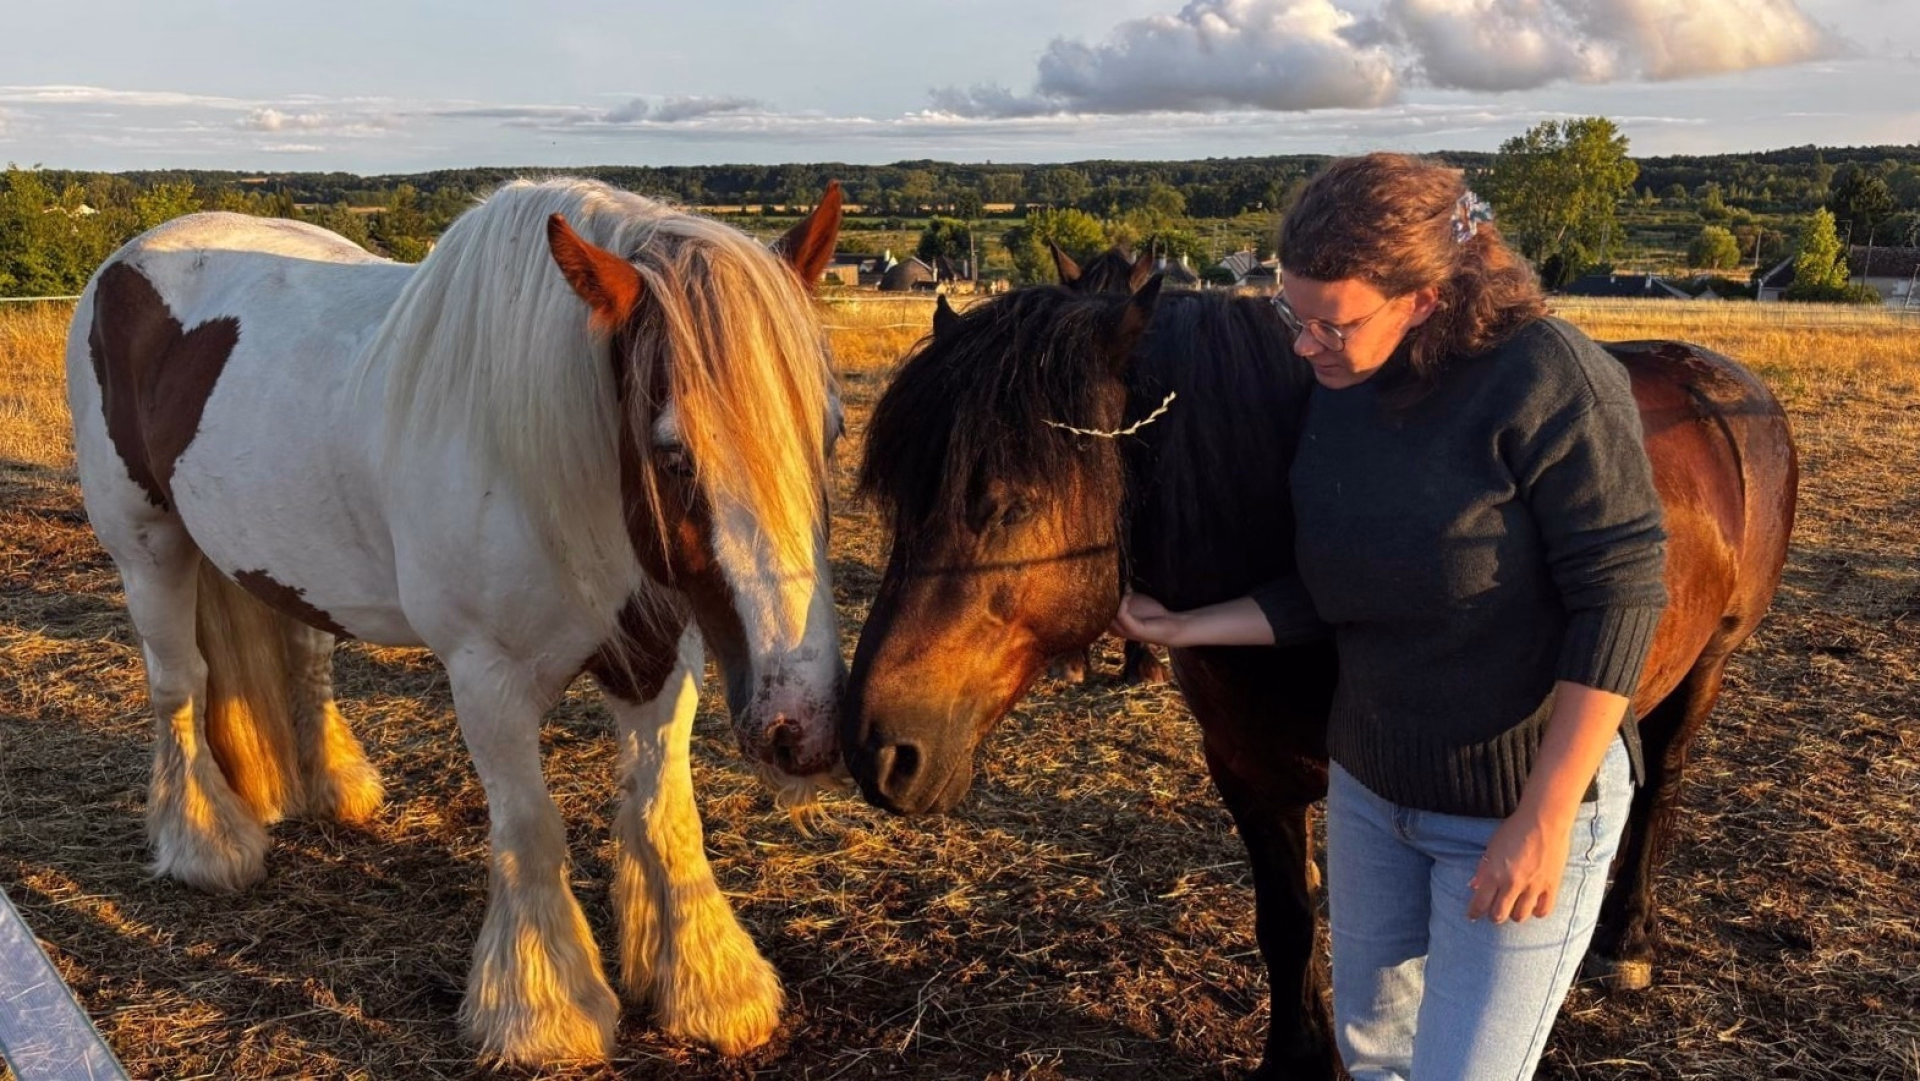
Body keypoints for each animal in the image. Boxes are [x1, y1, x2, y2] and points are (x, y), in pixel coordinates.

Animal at [64, 178, 848, 1066]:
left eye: (830, 431)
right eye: (674, 453)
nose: (804, 726)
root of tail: (132, 259)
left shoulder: (659, 653)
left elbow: (665, 814)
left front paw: (710, 987)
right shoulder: (488, 677)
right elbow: (532, 829)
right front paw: (543, 1011)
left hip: (285, 561)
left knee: (304, 663)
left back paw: (333, 785)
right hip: (149, 546)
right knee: (179, 686)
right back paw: (204, 842)